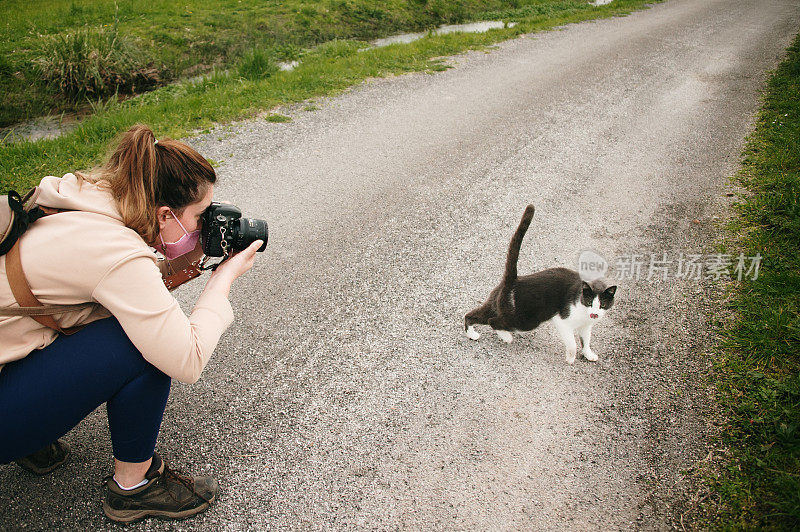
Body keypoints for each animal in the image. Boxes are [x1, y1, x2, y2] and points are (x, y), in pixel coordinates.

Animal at [466, 206, 616, 364]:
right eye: (589, 302)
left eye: (603, 304)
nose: (594, 314)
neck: (583, 313)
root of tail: (513, 280)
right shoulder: (562, 320)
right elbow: (572, 343)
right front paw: (570, 358)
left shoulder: (586, 326)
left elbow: (586, 341)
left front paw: (589, 354)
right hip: (527, 319)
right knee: (493, 321)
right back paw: (506, 337)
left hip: (499, 305)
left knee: (472, 315)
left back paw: (472, 334)